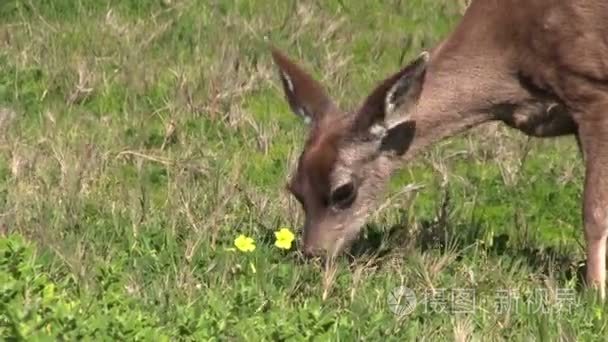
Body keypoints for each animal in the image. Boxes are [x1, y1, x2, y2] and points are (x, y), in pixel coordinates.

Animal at [270, 0, 608, 300]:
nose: (313, 255)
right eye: (295, 188)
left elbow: (593, 210)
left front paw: (595, 293)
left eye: (343, 191)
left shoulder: (591, 90)